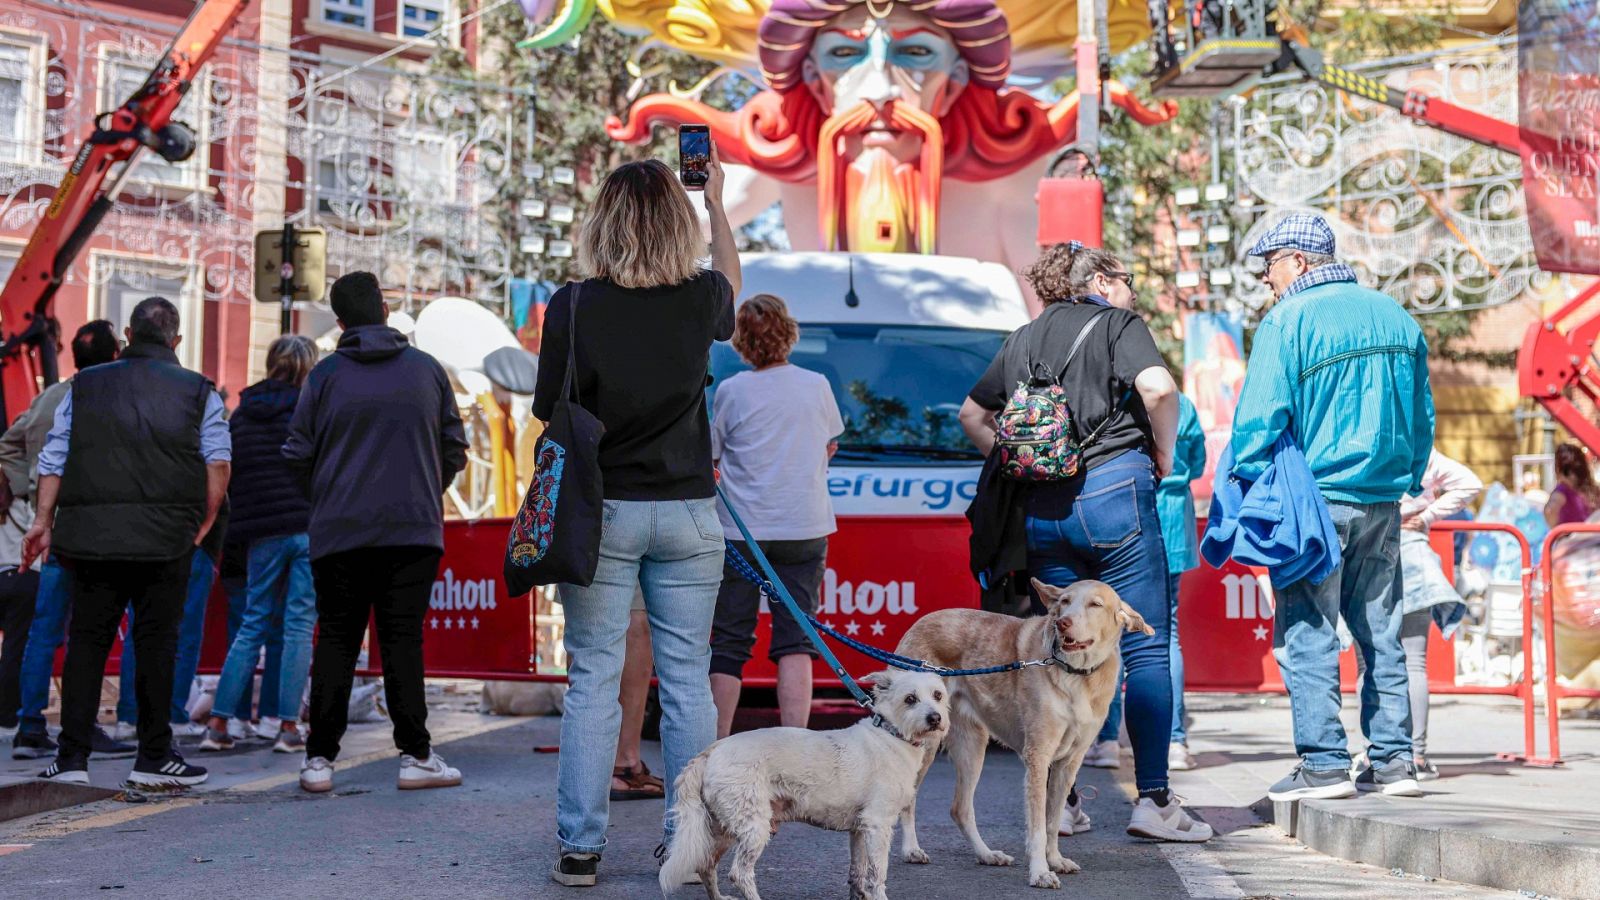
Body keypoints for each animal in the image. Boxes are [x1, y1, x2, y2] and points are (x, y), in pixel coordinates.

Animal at [652, 669, 940, 890]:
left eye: (938, 695)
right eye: (910, 699)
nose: (936, 718)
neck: (891, 734)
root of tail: (709, 753)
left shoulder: (860, 830)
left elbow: (858, 876)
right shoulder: (878, 825)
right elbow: (877, 876)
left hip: (721, 828)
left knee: (706, 867)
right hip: (753, 827)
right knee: (739, 874)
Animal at [902, 576, 1152, 883]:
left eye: (1095, 604)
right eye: (1065, 602)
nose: (1063, 623)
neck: (1076, 676)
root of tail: (919, 622)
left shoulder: (1068, 764)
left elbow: (1053, 821)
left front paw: (1055, 860)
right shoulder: (1038, 756)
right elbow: (1037, 827)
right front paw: (1040, 872)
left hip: (972, 745)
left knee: (960, 808)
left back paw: (987, 854)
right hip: (923, 744)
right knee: (908, 800)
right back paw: (911, 850)